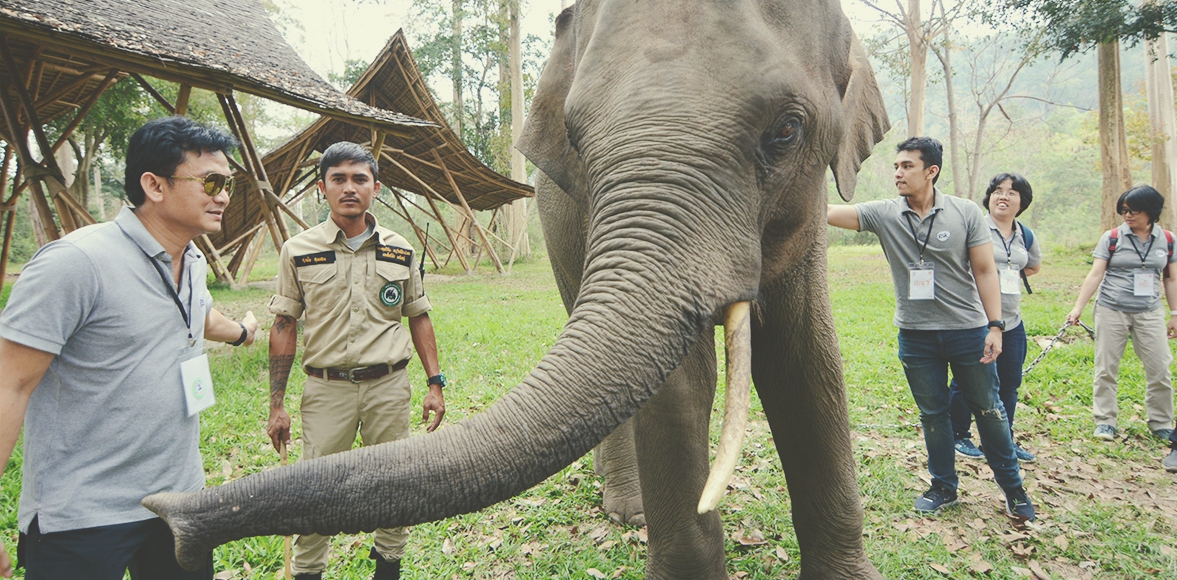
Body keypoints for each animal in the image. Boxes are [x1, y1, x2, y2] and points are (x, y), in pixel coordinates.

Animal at [142, 2, 885, 576]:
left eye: (786, 131)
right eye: (578, 142)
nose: (169, 524)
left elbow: (807, 362)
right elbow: (679, 385)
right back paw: (627, 511)